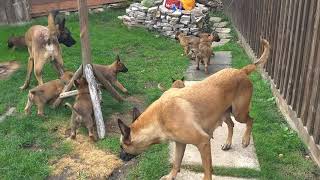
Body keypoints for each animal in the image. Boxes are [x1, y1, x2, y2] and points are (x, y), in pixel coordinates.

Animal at [117, 38, 270, 179]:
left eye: (122, 146)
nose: (120, 157)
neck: (159, 118)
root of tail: (241, 71)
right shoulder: (180, 143)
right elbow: (176, 162)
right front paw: (171, 176)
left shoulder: (203, 142)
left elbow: (207, 171)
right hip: (225, 113)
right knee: (231, 124)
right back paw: (227, 143)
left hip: (239, 113)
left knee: (250, 120)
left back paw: (245, 140)